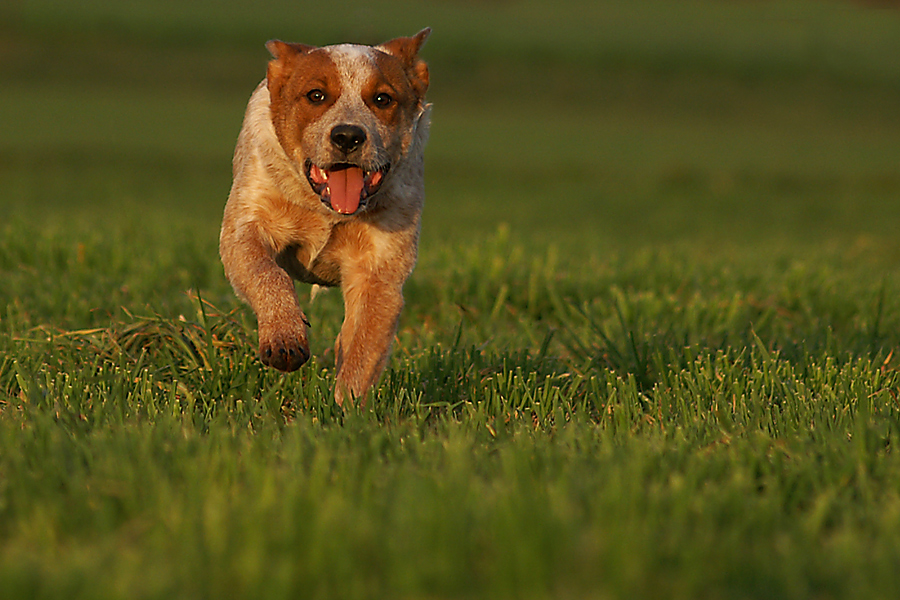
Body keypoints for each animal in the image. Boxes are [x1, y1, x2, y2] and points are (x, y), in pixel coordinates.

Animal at [217, 27, 428, 404]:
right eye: (316, 95)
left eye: (383, 99)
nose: (348, 135)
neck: (325, 213)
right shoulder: (245, 229)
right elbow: (268, 274)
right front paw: (284, 338)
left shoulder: (378, 273)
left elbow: (363, 346)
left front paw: (346, 408)